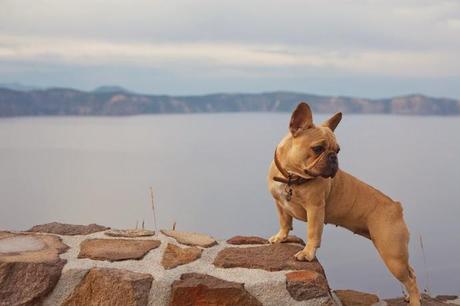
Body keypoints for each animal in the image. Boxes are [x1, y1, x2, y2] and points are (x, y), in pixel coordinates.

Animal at [266, 103, 420, 306]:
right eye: (318, 148)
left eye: (337, 150)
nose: (333, 157)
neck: (292, 176)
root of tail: (396, 207)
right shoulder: (279, 203)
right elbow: (284, 222)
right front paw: (280, 237)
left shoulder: (315, 208)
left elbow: (313, 233)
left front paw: (307, 253)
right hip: (395, 253)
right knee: (412, 272)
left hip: (392, 254)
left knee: (410, 280)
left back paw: (415, 300)